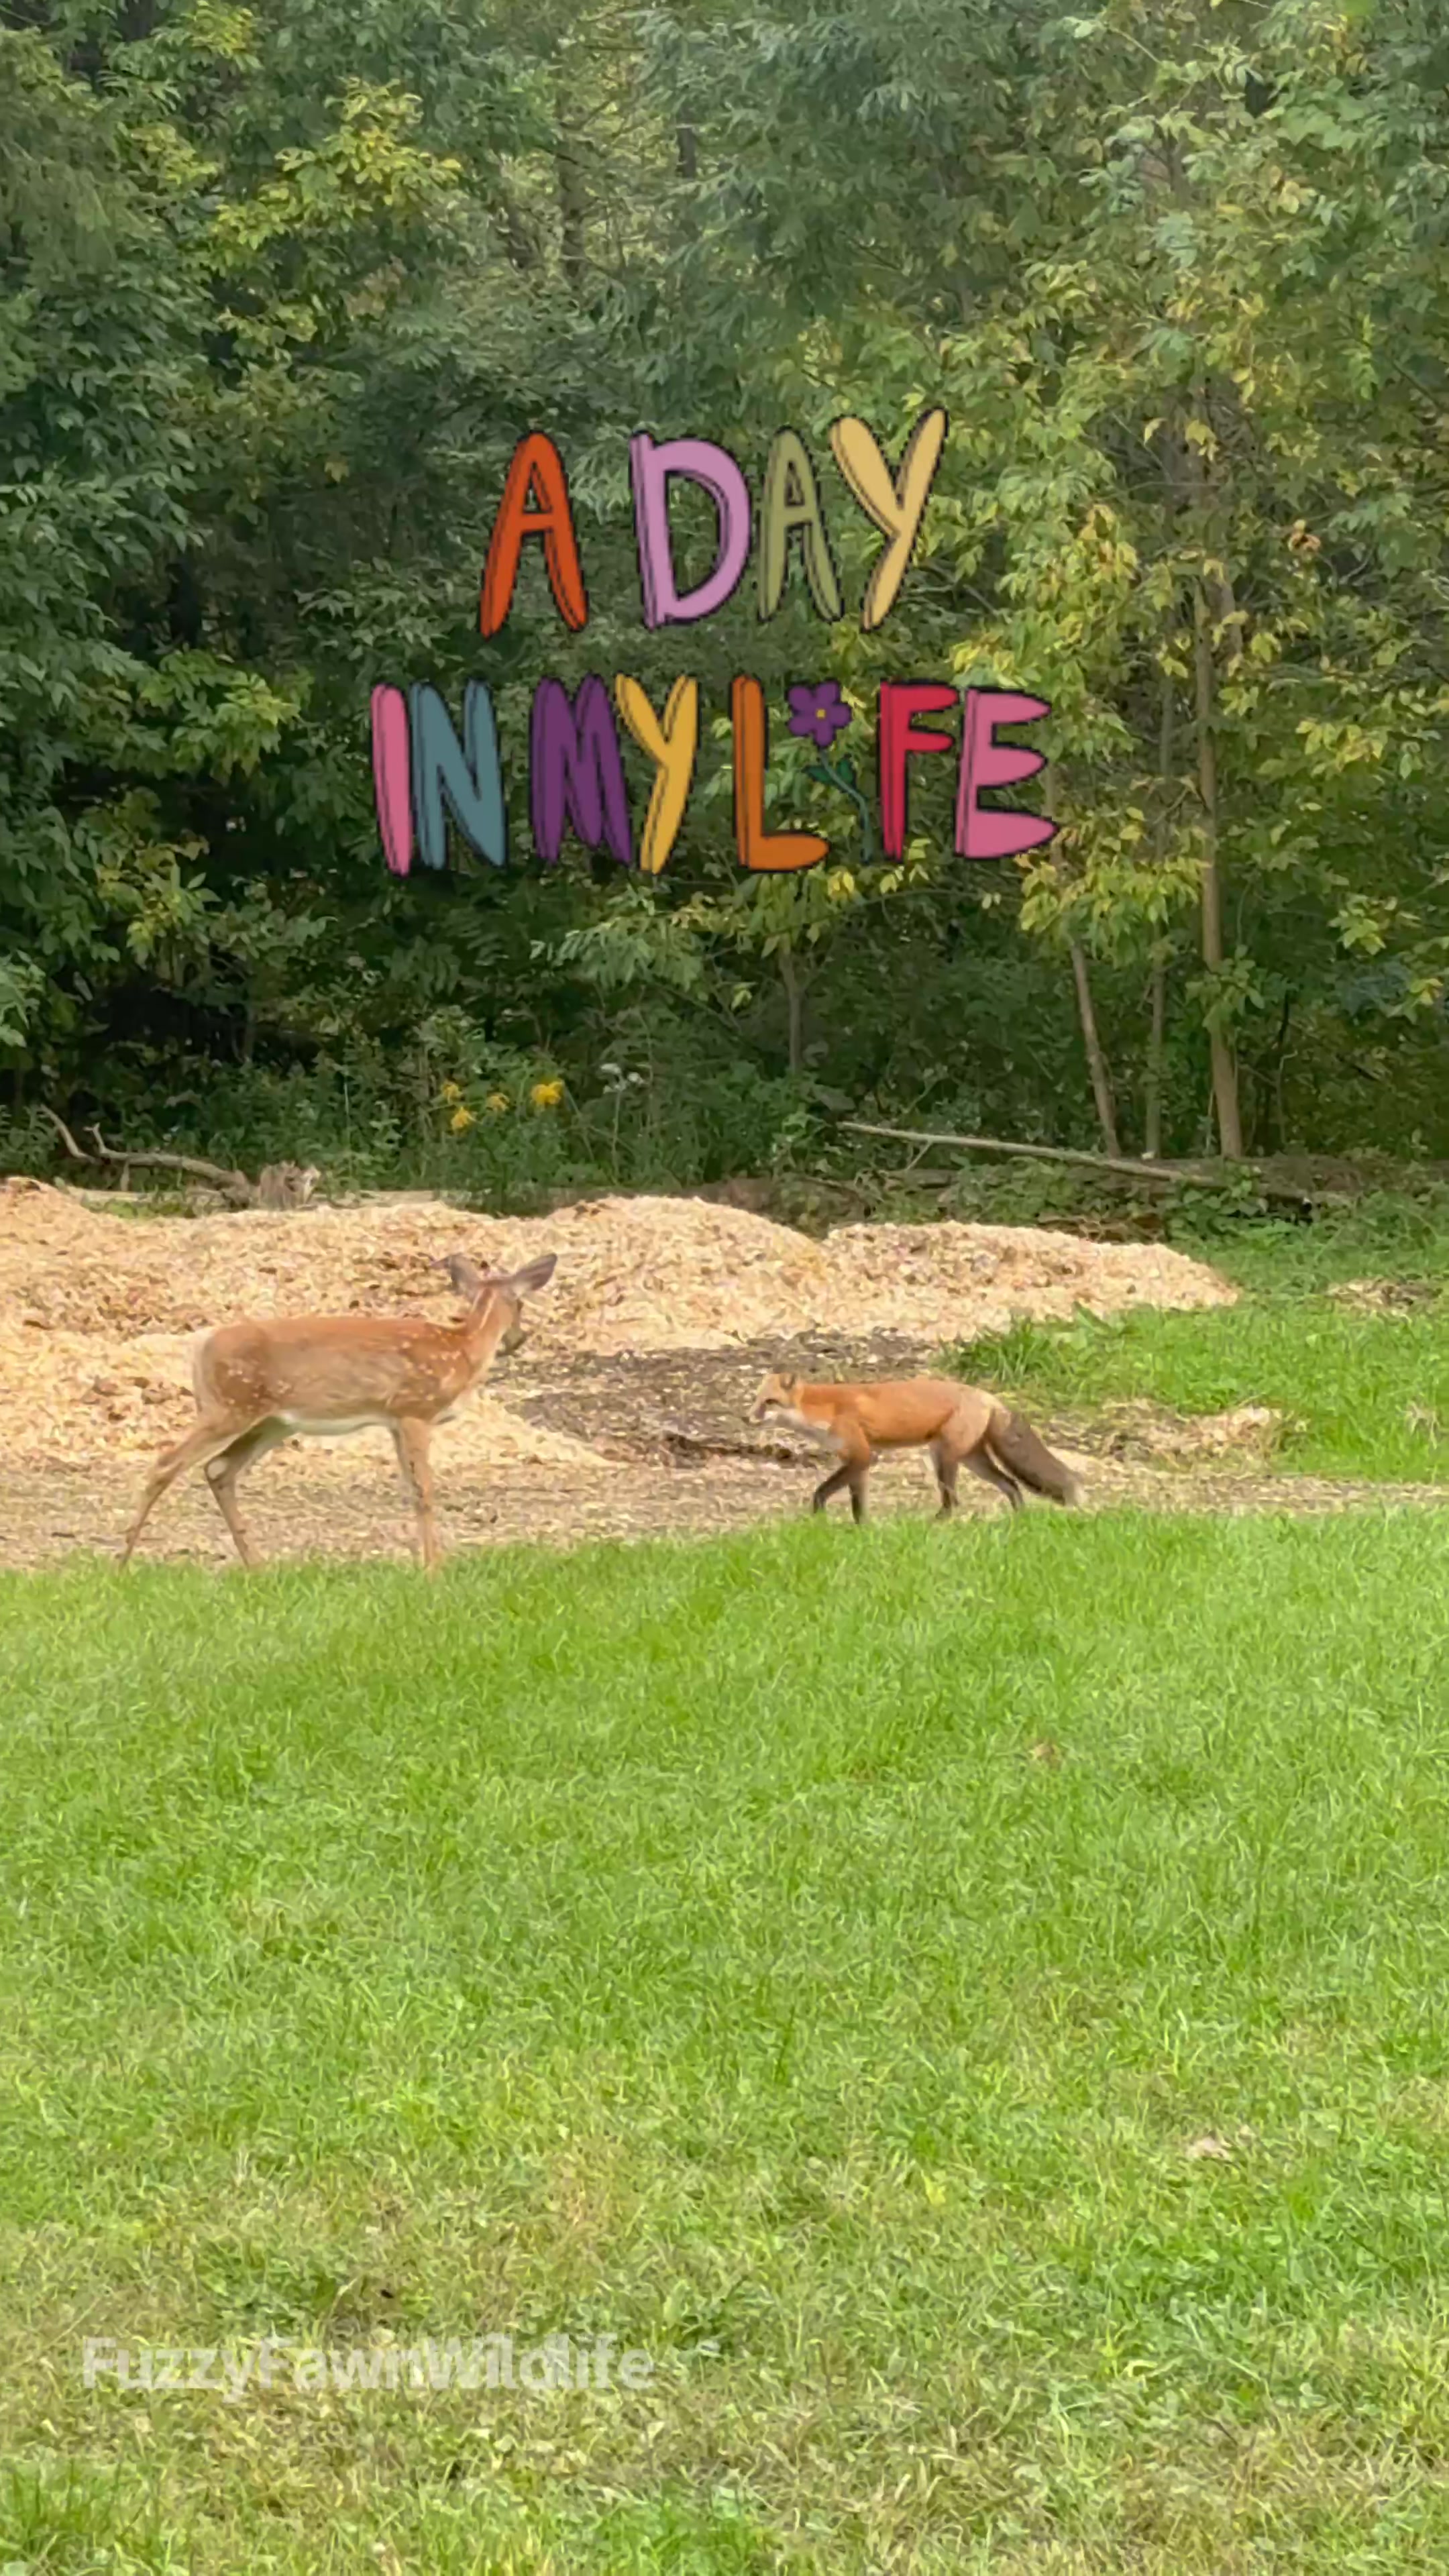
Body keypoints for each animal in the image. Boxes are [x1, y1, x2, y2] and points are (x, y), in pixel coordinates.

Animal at [119, 1250, 557, 1573]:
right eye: (522, 1304)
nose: (518, 1340)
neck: (463, 1350)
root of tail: (200, 1349)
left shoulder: (394, 1422)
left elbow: (411, 1488)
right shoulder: (415, 1409)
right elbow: (424, 1490)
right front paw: (434, 1569)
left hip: (268, 1421)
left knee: (218, 1468)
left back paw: (258, 1566)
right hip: (228, 1406)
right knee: (166, 1463)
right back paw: (121, 1563)